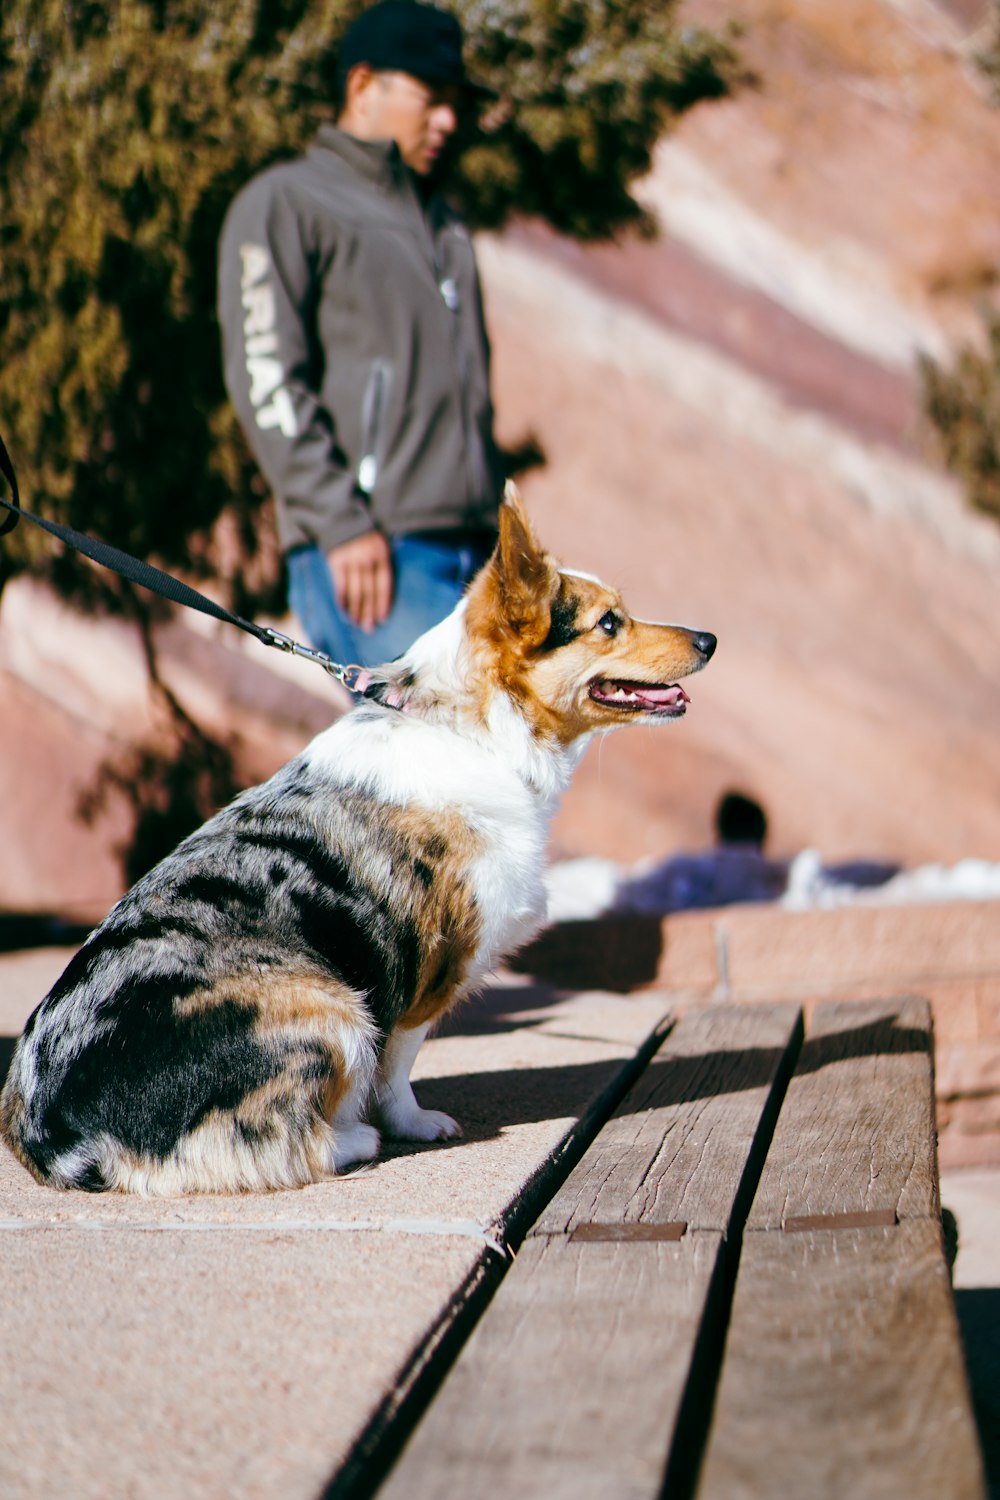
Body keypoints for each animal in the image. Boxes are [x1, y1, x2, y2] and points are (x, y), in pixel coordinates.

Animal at [1, 492, 719, 1194]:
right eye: (608, 623)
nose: (710, 638)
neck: (473, 727)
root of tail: (60, 1134)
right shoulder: (421, 980)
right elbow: (397, 1069)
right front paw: (417, 1125)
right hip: (336, 1009)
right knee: (291, 1145)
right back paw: (356, 1137)